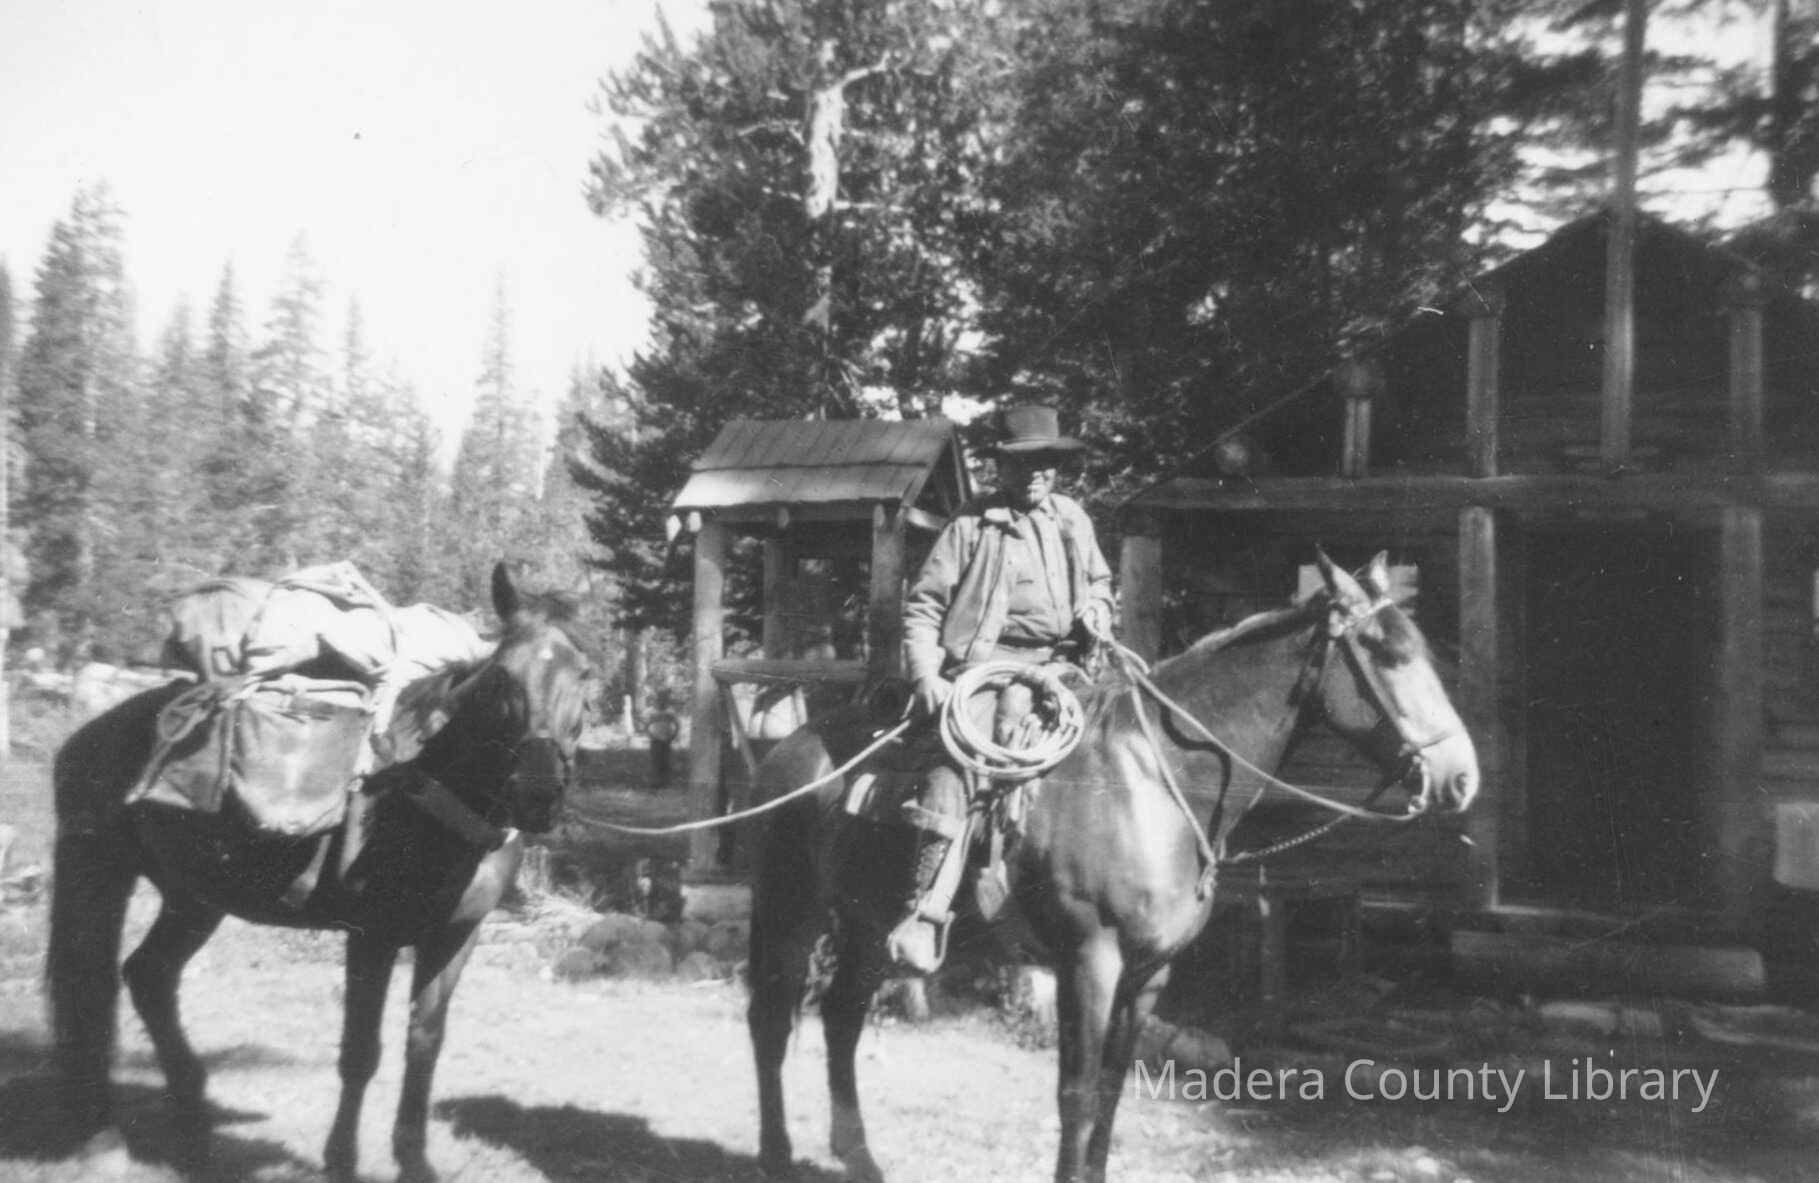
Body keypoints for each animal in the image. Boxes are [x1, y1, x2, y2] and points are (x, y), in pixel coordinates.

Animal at [46, 563, 595, 1182]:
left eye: (586, 675)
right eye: (502, 676)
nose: (538, 795)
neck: (431, 787)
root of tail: (89, 735)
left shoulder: (455, 937)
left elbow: (424, 1043)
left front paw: (414, 1160)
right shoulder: (373, 937)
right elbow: (361, 1052)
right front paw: (341, 1160)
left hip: (195, 896)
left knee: (148, 976)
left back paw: (193, 1113)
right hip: (98, 873)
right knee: (90, 990)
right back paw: (102, 1134)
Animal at [747, 550, 1480, 1183]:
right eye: (1388, 653)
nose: (1461, 776)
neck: (1154, 782)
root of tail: (790, 749)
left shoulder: (1150, 972)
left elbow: (1110, 1089)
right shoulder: (1088, 961)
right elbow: (1074, 1092)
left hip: (866, 924)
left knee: (840, 1018)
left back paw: (858, 1155)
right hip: (789, 907)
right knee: (772, 1020)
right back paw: (777, 1153)